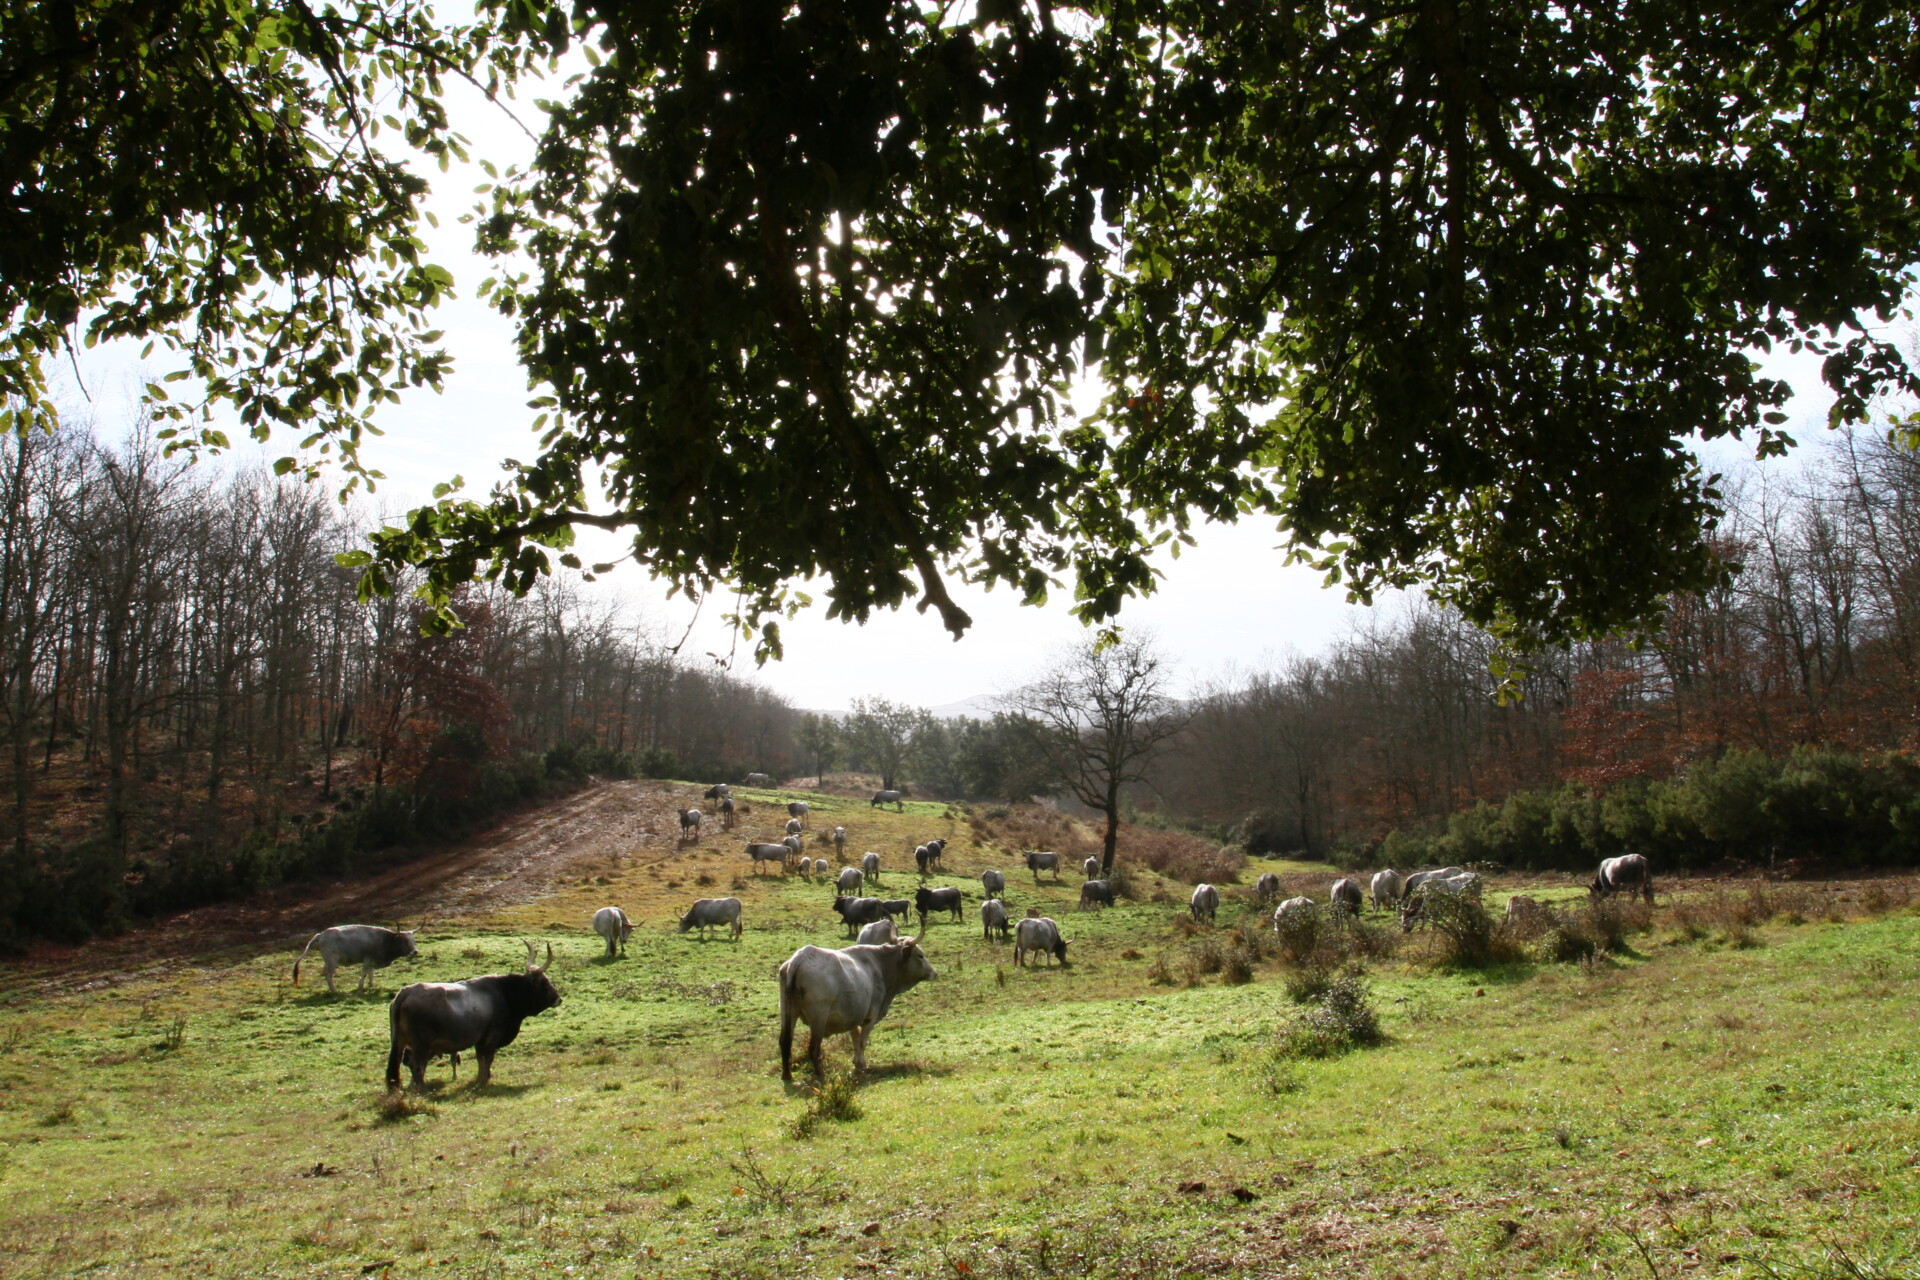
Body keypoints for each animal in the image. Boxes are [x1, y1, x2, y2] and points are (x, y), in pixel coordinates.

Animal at [385, 940, 560, 1090]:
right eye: (545, 982)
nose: (559, 998)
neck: (505, 993)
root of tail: (406, 992)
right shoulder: (491, 1038)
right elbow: (488, 1059)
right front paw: (486, 1079)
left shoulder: (480, 1041)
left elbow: (480, 1059)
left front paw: (479, 1078)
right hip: (420, 1045)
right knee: (417, 1066)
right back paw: (422, 1089)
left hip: (400, 1043)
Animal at [771, 940, 936, 1082]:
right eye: (920, 955)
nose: (934, 973)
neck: (880, 964)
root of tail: (800, 958)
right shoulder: (871, 1016)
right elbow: (862, 1041)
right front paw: (861, 1064)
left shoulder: (853, 1017)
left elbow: (855, 1038)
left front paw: (856, 1061)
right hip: (819, 1017)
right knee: (813, 1048)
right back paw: (821, 1074)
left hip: (788, 1011)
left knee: (785, 1041)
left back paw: (787, 1075)